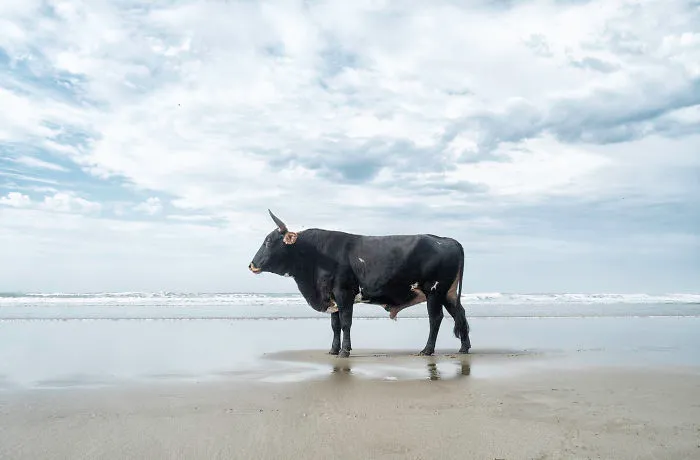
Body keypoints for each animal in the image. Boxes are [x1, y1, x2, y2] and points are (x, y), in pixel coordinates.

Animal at [248, 210, 471, 358]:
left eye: (268, 241)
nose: (251, 265)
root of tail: (447, 240)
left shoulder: (344, 293)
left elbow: (346, 322)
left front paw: (344, 351)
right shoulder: (332, 297)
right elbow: (335, 325)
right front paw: (333, 349)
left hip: (434, 290)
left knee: (436, 318)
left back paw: (427, 350)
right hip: (448, 293)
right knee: (459, 314)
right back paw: (464, 347)